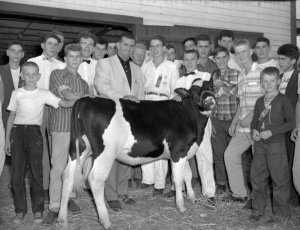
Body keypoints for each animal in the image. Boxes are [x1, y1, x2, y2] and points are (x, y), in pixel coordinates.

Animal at [57, 85, 216, 229]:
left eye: (211, 88)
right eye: (194, 93)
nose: (210, 100)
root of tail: (85, 100)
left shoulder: (183, 152)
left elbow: (187, 175)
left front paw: (192, 197)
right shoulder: (178, 151)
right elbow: (178, 179)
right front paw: (181, 206)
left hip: (80, 149)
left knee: (67, 176)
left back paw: (62, 219)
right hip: (105, 152)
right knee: (95, 179)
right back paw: (106, 220)